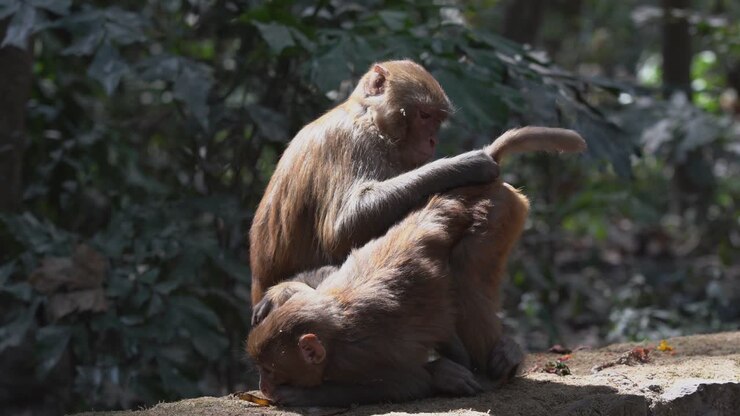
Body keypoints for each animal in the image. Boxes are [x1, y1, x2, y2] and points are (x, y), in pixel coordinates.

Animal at [248, 127, 587, 405]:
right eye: (261, 369)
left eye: (270, 370)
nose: (263, 386)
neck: (333, 322)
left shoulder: (360, 355)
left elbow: (406, 383)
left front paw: (297, 396)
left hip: (499, 212)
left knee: (464, 276)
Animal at [249, 60, 501, 307]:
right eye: (424, 115)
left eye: (438, 119)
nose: (432, 140)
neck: (369, 118)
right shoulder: (350, 139)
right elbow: (343, 227)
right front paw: (466, 166)